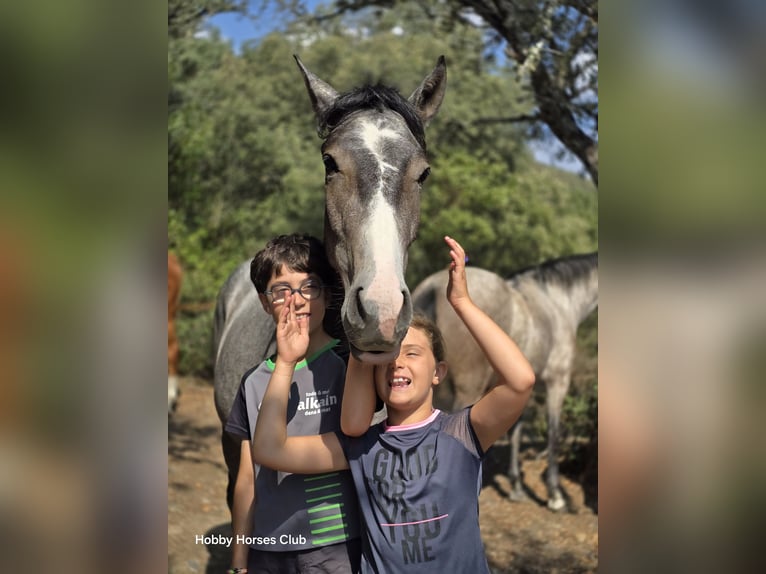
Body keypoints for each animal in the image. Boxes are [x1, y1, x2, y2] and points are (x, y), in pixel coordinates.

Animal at [414, 253, 600, 512]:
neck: (557, 301)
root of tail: (431, 288)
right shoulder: (557, 382)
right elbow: (553, 433)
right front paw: (555, 496)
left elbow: (516, 432)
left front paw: (516, 487)